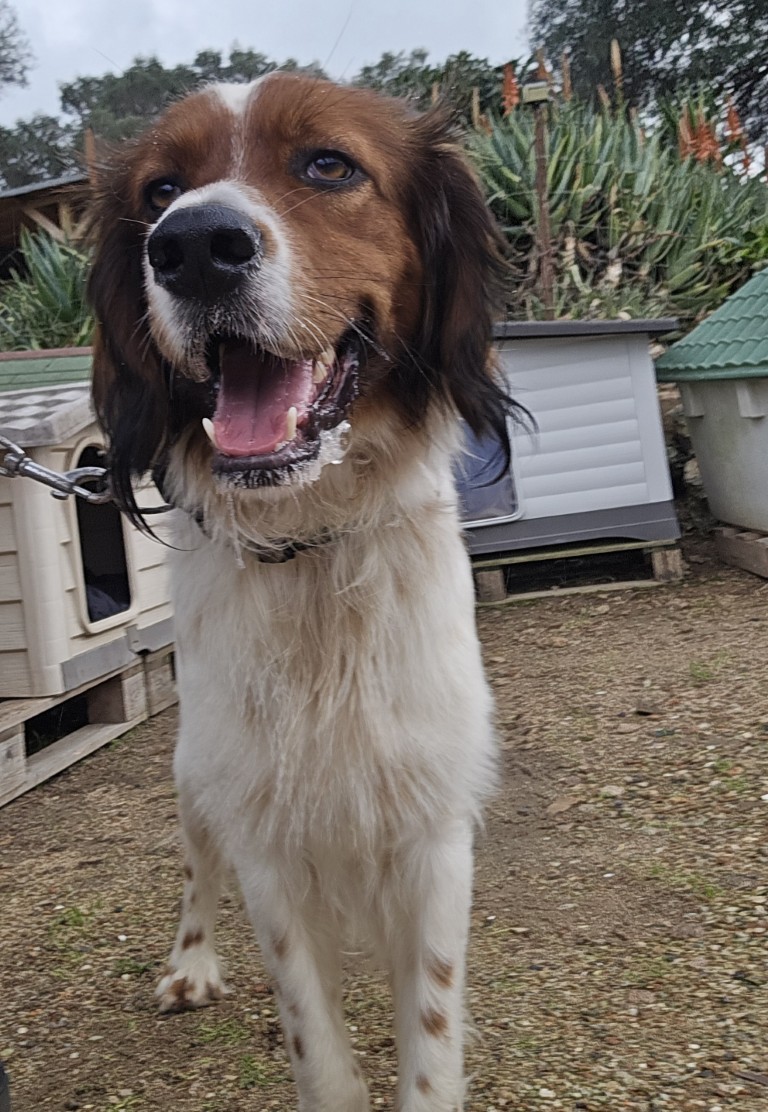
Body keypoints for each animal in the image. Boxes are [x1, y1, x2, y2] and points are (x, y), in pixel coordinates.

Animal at [88, 72, 517, 1112]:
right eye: (161, 190)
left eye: (328, 165)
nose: (192, 247)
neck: (313, 546)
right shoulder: (264, 841)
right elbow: (316, 1050)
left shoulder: (434, 835)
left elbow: (429, 1048)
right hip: (196, 779)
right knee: (194, 874)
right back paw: (191, 964)